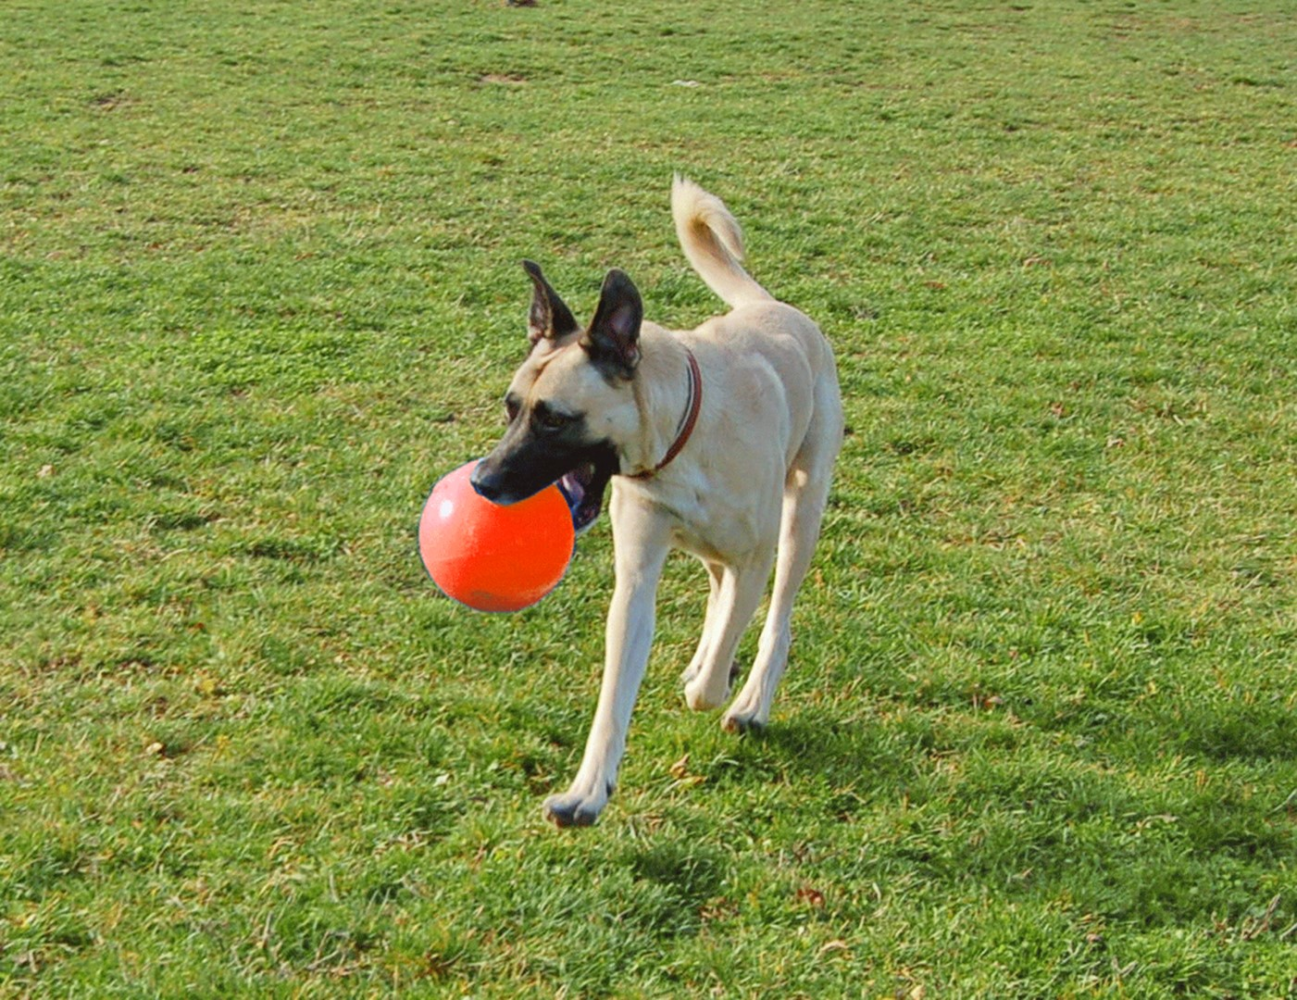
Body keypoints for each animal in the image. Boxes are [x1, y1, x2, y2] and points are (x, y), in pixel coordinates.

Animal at [472, 180, 845, 830]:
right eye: (511, 407)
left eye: (554, 419)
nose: (483, 481)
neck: (677, 441)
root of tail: (772, 307)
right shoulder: (638, 575)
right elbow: (615, 695)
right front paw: (587, 792)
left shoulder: (755, 557)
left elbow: (726, 653)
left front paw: (718, 686)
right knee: (719, 587)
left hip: (803, 510)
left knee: (776, 619)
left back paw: (750, 698)